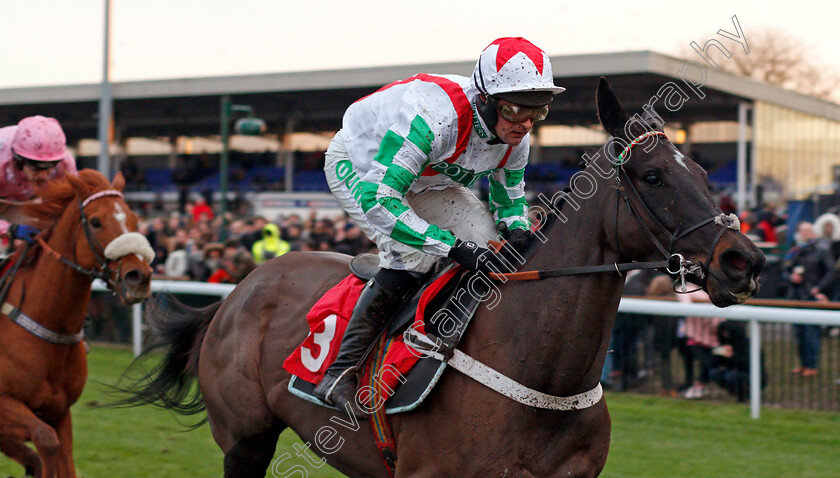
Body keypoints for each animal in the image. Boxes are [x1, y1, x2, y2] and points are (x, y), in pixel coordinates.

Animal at [0, 172, 154, 478]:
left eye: (134, 219)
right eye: (95, 221)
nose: (138, 276)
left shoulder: (59, 410)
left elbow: (62, 458)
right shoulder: (4, 404)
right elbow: (46, 439)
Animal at [128, 80, 764, 476]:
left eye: (703, 169)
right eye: (653, 176)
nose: (745, 261)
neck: (543, 376)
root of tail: (238, 290)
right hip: (245, 438)